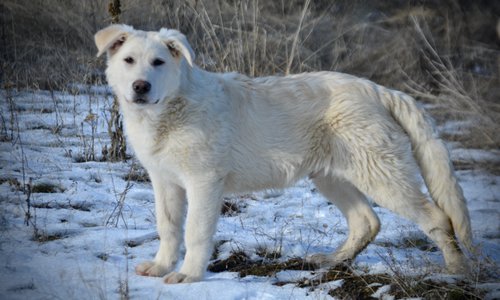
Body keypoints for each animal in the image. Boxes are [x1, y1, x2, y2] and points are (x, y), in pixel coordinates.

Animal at [94, 24, 472, 284]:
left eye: (158, 62)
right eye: (128, 61)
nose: (140, 87)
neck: (170, 110)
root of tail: (379, 89)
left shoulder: (204, 182)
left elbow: (195, 232)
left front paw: (188, 276)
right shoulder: (165, 181)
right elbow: (169, 227)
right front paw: (161, 267)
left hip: (381, 175)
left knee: (438, 218)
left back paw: (456, 273)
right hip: (333, 176)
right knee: (367, 221)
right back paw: (332, 261)